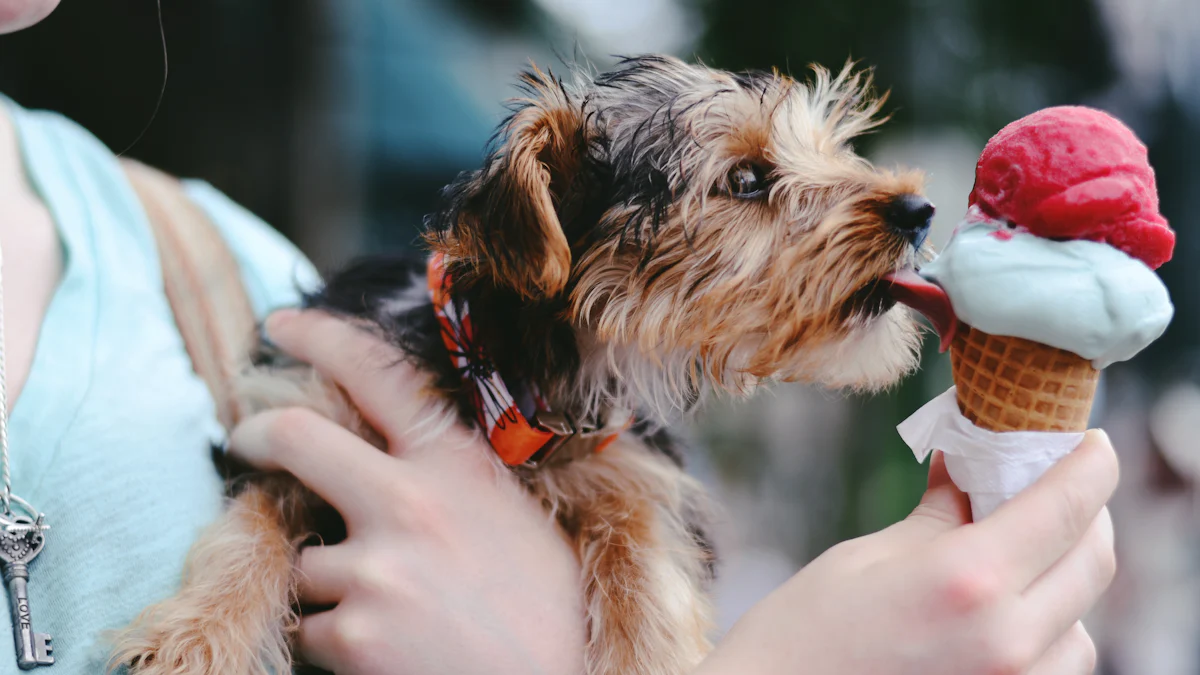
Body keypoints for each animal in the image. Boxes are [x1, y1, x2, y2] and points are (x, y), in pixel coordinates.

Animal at [110, 53, 926, 672]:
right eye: (748, 180)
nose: (919, 213)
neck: (499, 374)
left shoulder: (630, 465)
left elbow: (644, 551)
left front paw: (647, 650)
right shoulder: (300, 412)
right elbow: (252, 520)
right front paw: (198, 637)